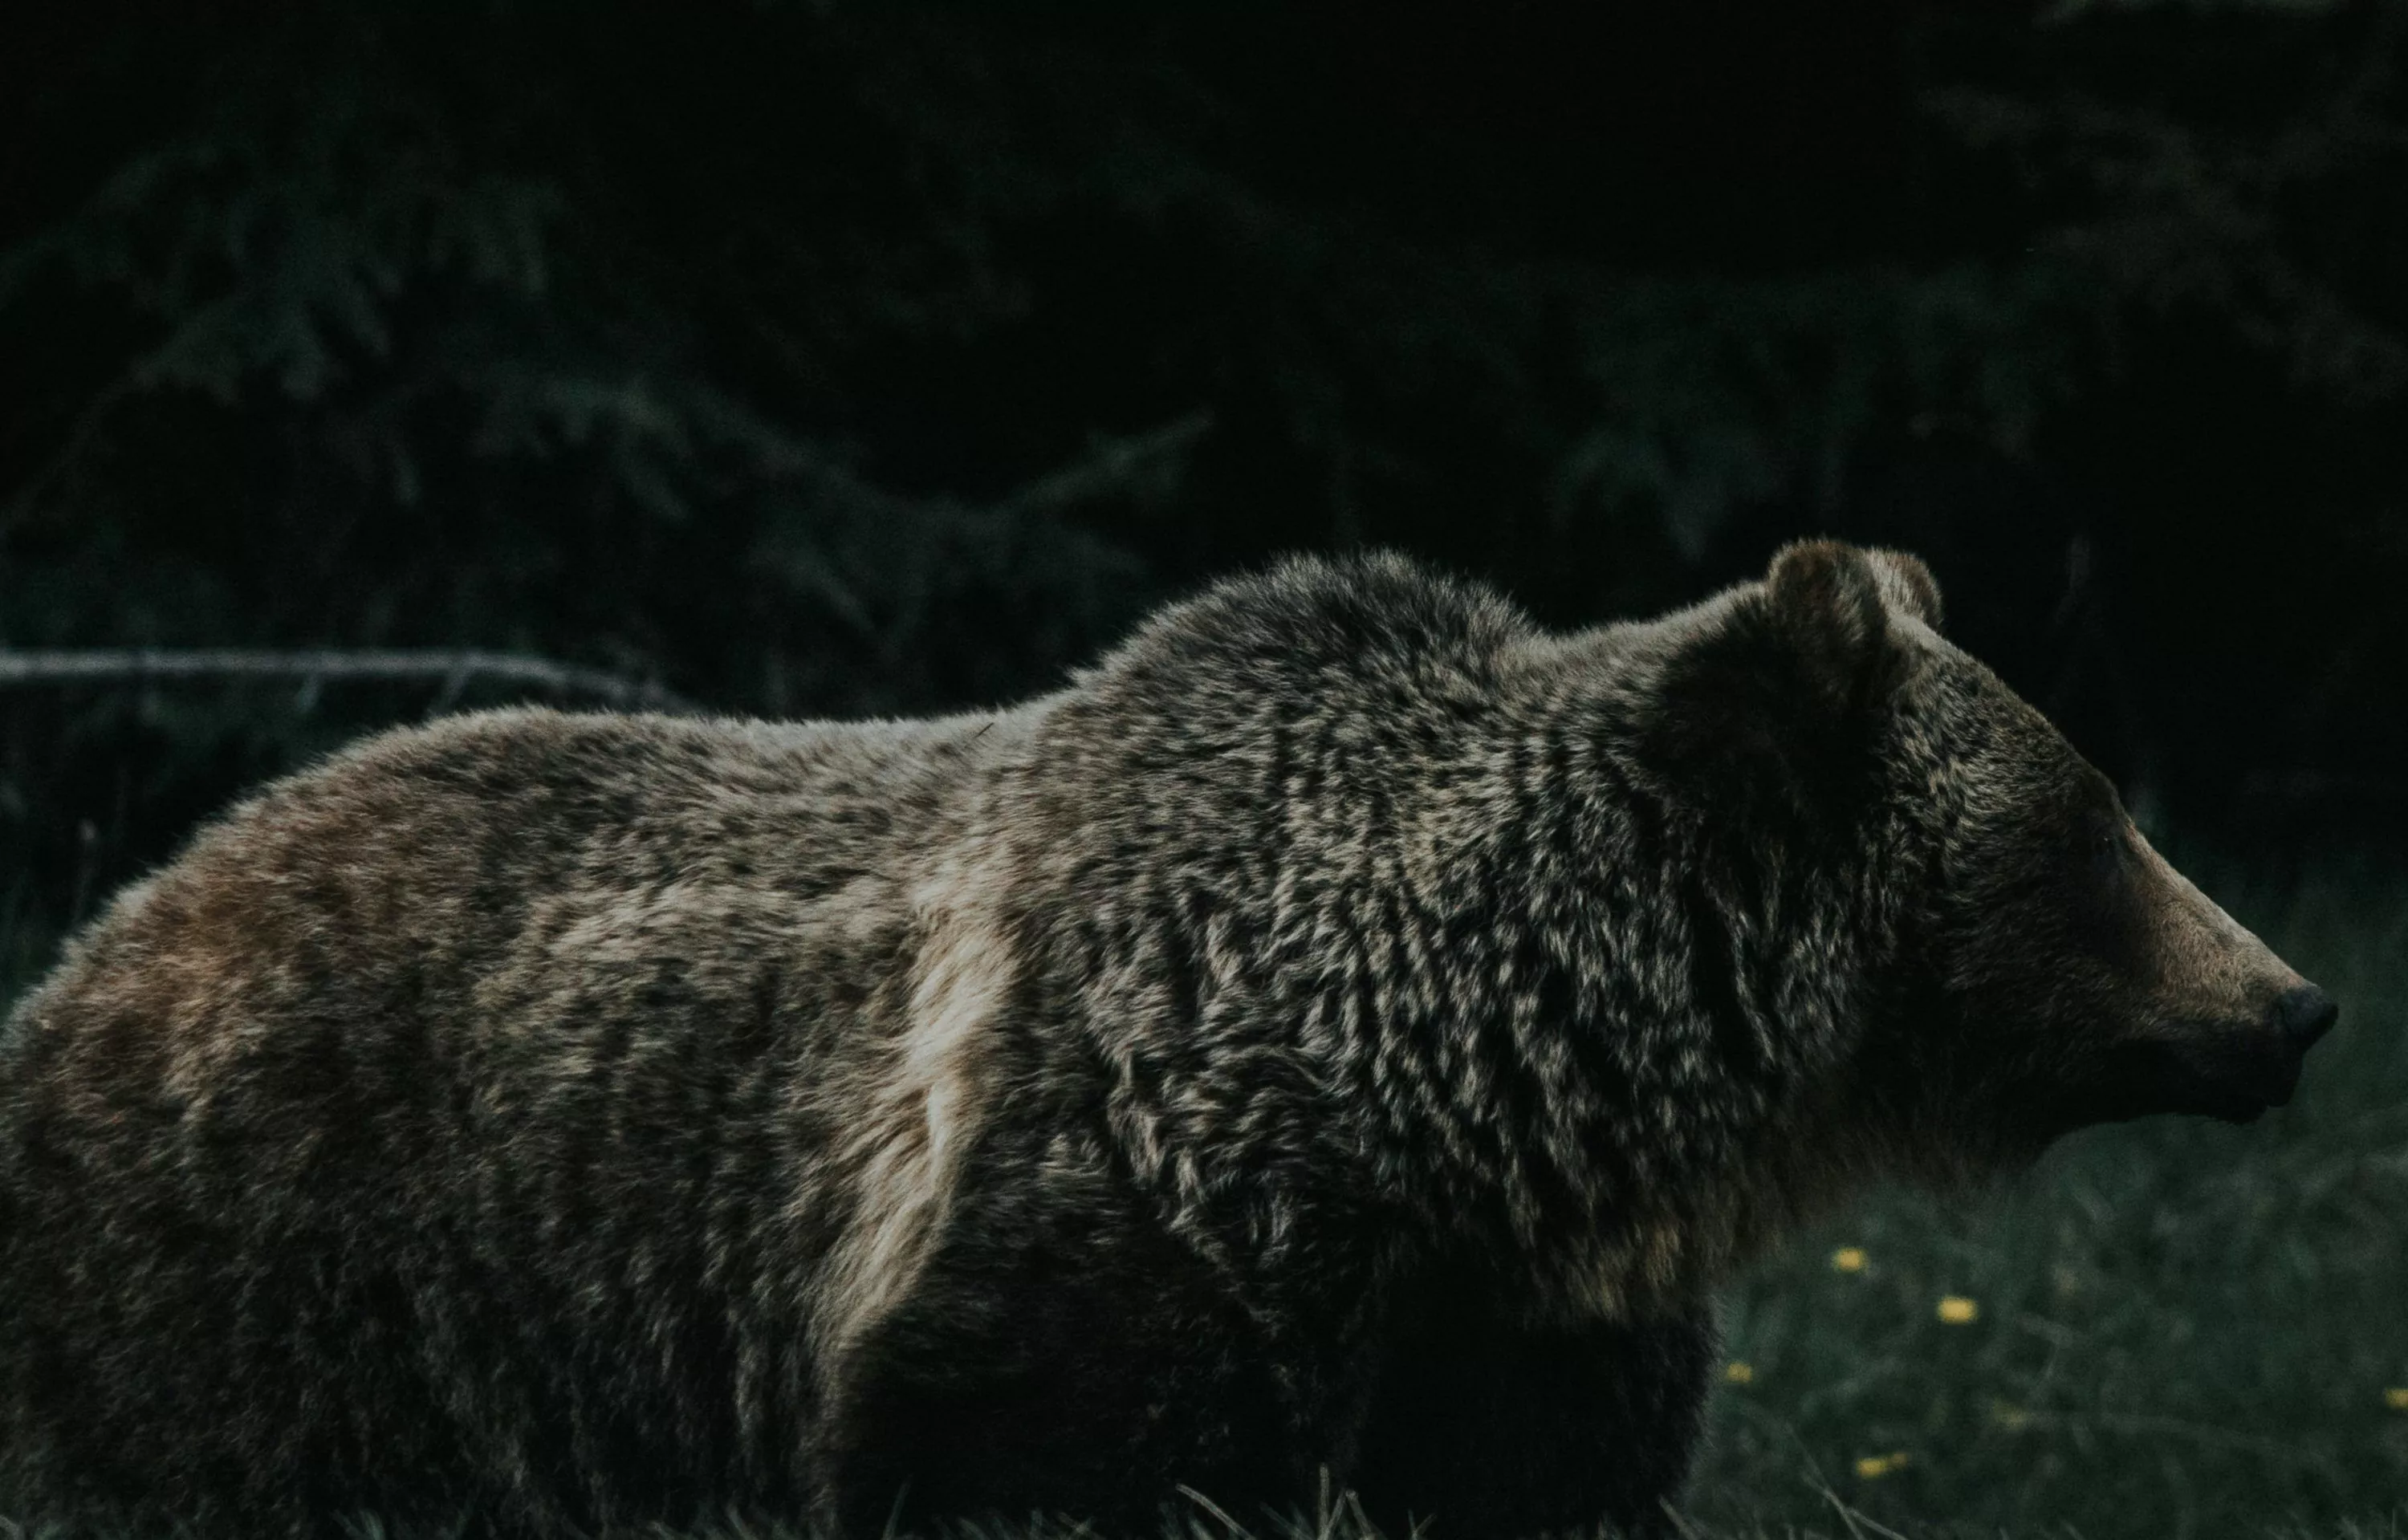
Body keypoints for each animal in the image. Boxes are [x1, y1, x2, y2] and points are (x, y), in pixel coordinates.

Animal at [0, 541, 2335, 1539]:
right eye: (2094, 817)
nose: (2295, 1004)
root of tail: (119, 919)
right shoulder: (1110, 1208)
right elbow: (1041, 1450)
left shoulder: (1513, 1324)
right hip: (299, 1267)